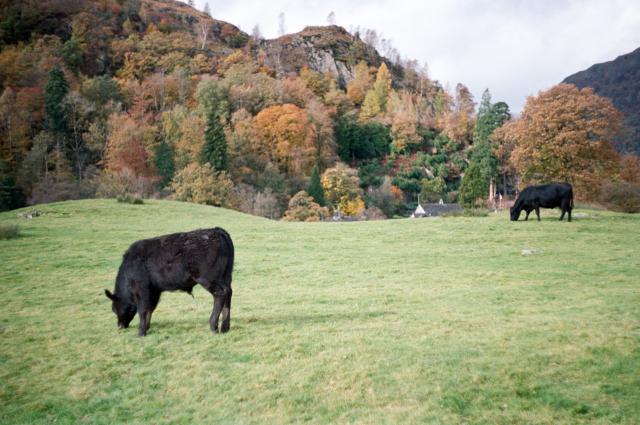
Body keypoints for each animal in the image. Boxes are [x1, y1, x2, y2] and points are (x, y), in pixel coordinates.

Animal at [104, 227, 234, 336]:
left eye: (114, 309)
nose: (120, 326)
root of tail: (216, 230)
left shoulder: (141, 288)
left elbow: (143, 309)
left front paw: (141, 332)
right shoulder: (154, 290)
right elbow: (150, 308)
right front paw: (147, 327)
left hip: (208, 278)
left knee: (220, 294)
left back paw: (213, 326)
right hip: (226, 277)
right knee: (228, 293)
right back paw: (225, 327)